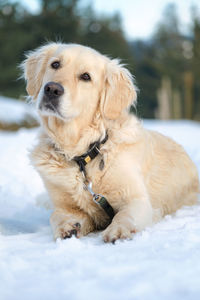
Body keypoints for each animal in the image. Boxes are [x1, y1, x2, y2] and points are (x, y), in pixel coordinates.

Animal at [21, 42, 198, 243]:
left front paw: (118, 230)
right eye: (55, 64)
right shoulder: (66, 204)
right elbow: (56, 215)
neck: (83, 154)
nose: (52, 89)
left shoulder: (137, 199)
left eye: (86, 76)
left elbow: (125, 214)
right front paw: (67, 226)